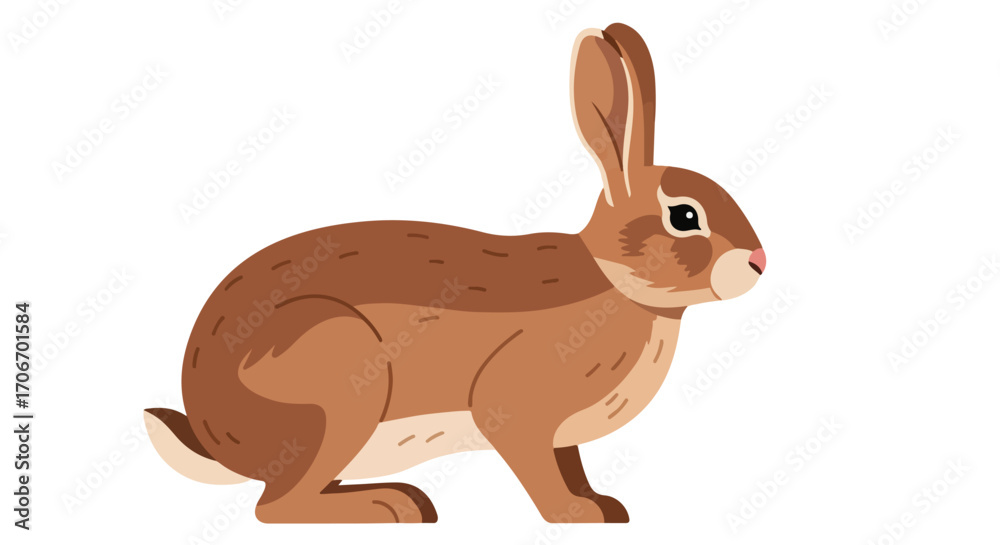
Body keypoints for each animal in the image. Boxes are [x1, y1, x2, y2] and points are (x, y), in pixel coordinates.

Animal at [145, 23, 765, 524]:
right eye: (684, 216)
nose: (759, 263)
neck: (619, 281)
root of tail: (215, 432)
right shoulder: (516, 411)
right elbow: (537, 469)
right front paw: (576, 515)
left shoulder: (561, 437)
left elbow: (570, 463)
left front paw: (602, 504)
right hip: (338, 383)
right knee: (274, 507)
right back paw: (393, 508)